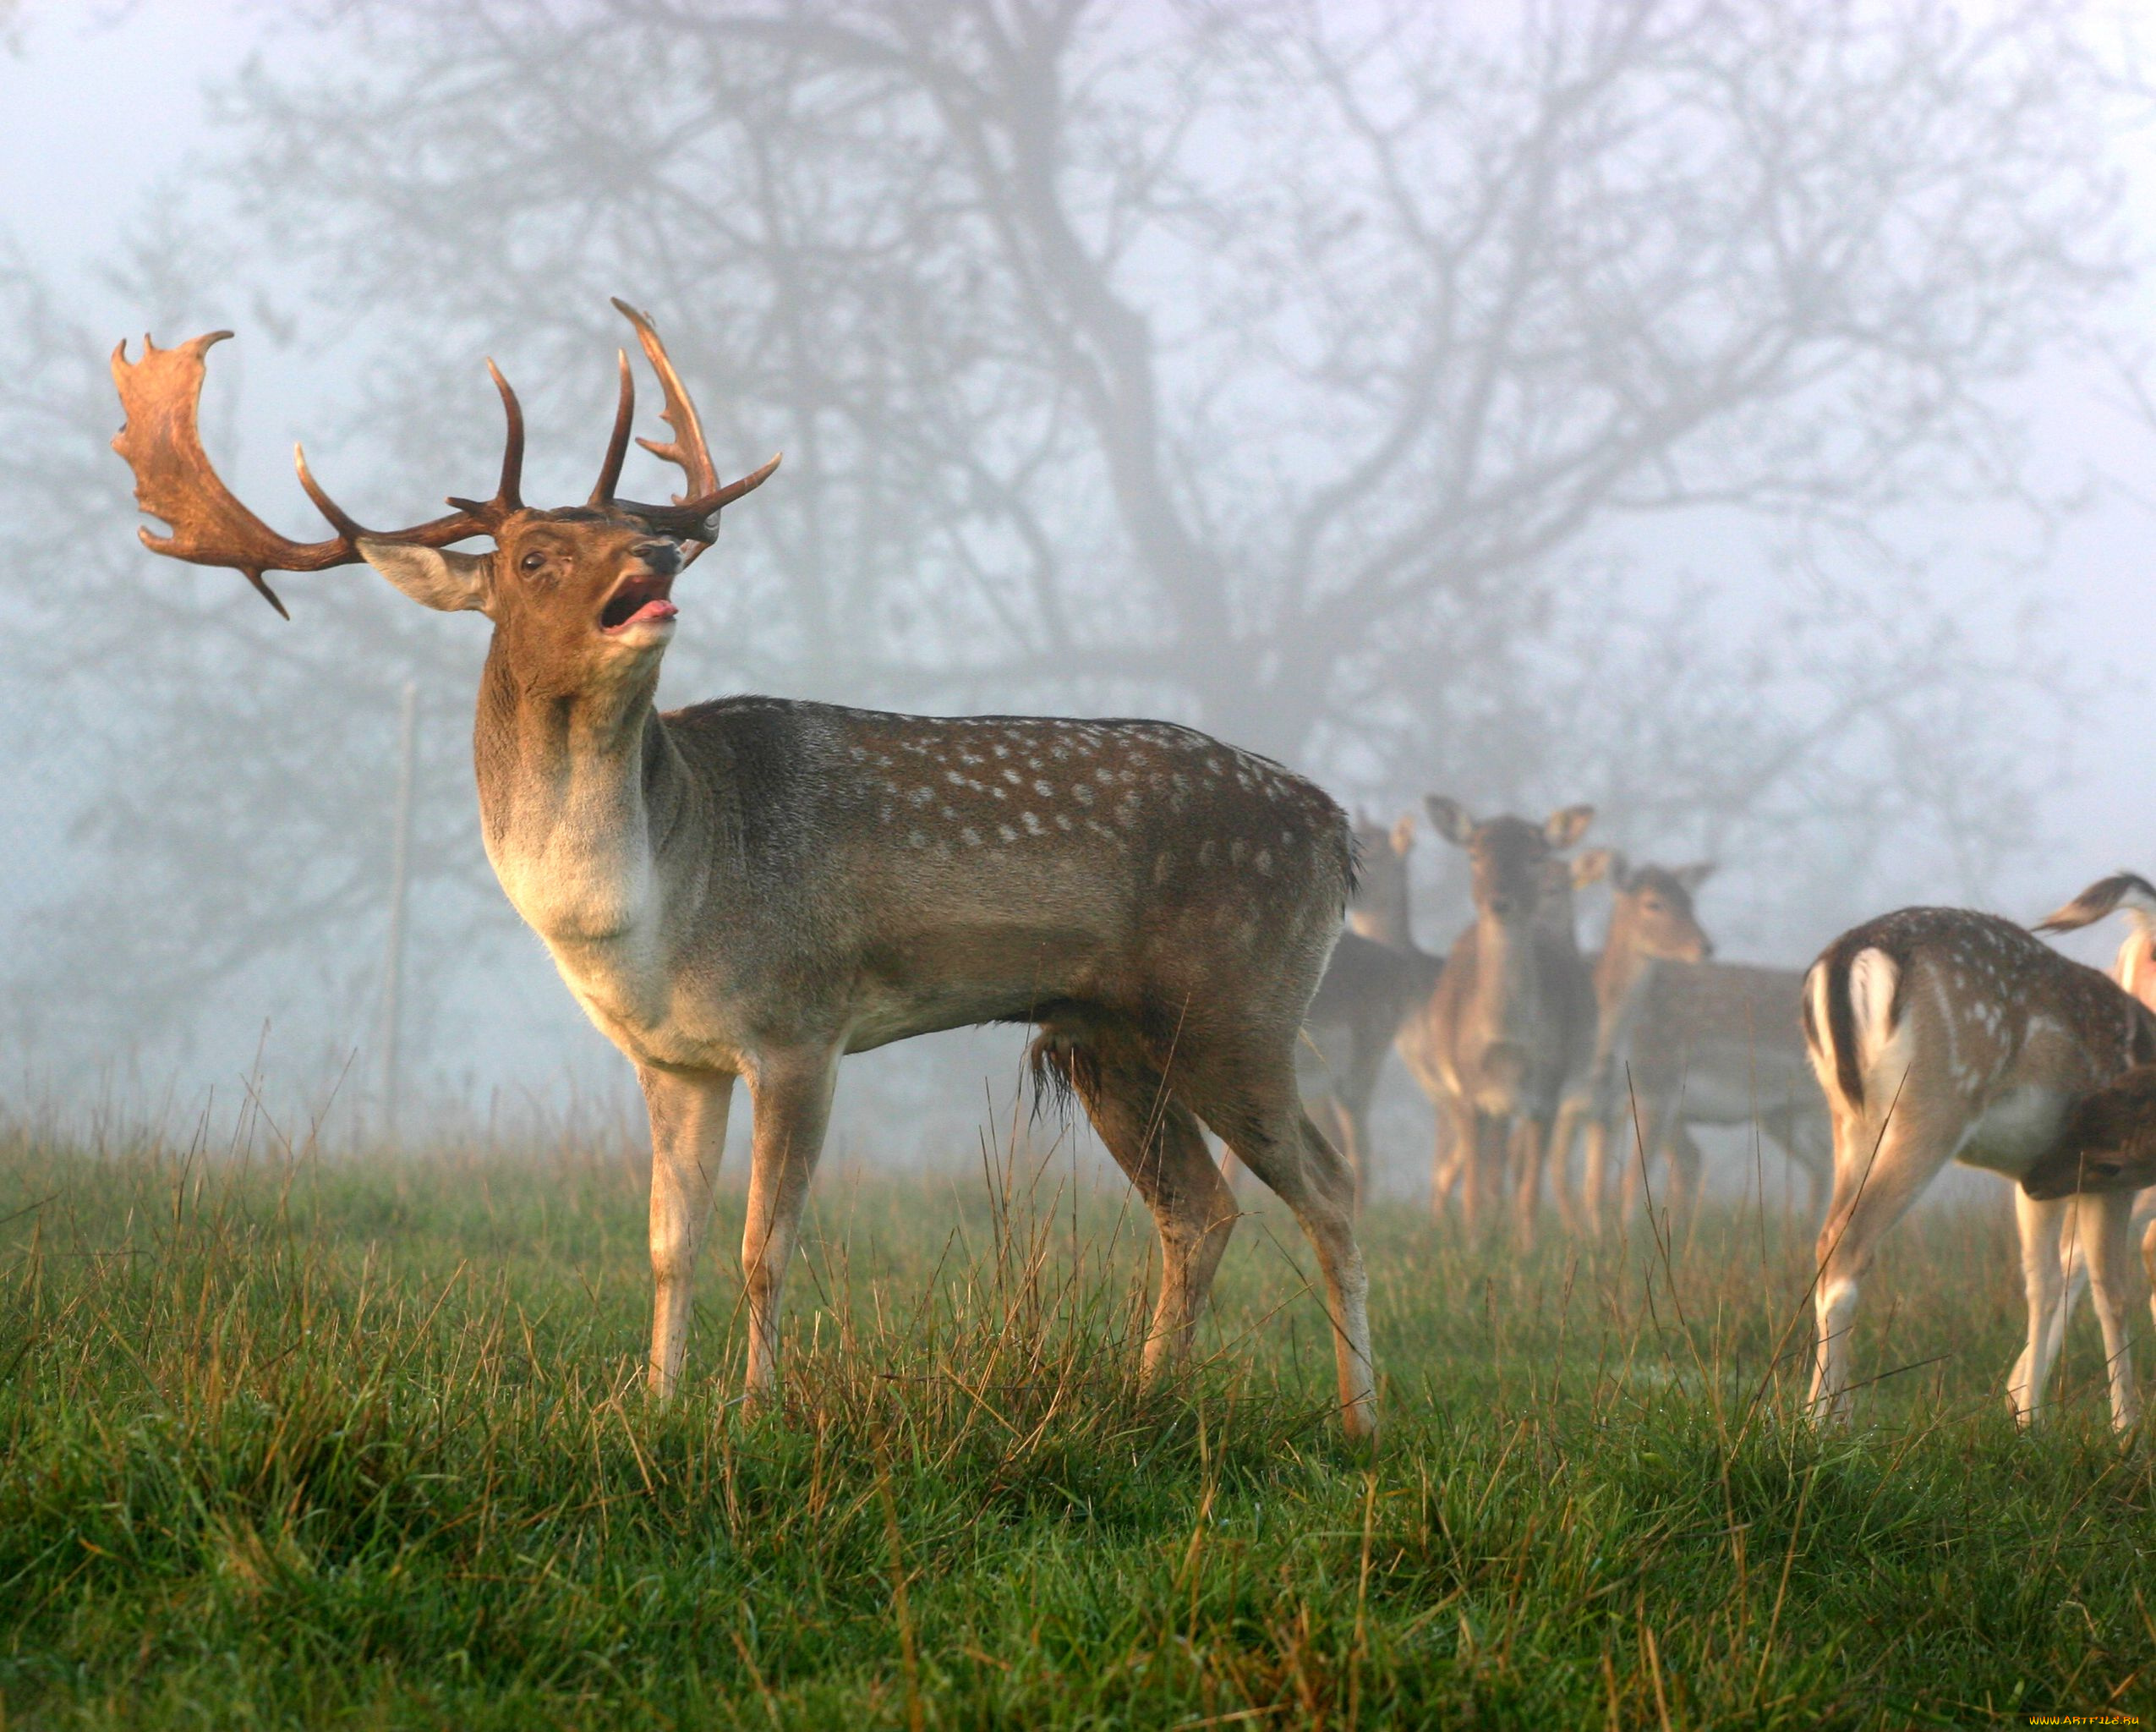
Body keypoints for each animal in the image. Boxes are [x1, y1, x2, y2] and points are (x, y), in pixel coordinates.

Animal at [109, 304, 1380, 1440]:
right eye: (532, 553)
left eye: (622, 527)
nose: (660, 548)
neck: (657, 911)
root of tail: (1338, 832)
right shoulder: (673, 1059)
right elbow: (668, 1246)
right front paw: (655, 1402)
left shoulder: (799, 1022)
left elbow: (764, 1248)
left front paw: (755, 1412)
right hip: (1104, 1036)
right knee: (1200, 1210)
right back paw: (1149, 1398)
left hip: (1238, 1003)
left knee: (1329, 1184)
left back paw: (1360, 1420)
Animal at [1397, 797, 1604, 1233]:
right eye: (1474, 854)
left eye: (1535, 855)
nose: (1500, 900)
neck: (1506, 1042)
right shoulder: (1468, 1092)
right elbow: (1472, 1192)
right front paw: (1473, 1244)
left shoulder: (1548, 1093)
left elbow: (1529, 1193)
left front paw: (1526, 1247)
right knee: (1481, 1173)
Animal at [1802, 902, 2156, 1432]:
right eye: (2111, 1160)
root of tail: (1847, 958)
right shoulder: (2107, 1176)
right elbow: (2111, 1293)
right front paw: (2126, 1431)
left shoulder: (2039, 1178)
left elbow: (2043, 1282)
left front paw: (2029, 1419)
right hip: (1935, 1105)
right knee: (1849, 1246)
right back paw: (1823, 1426)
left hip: (1850, 1120)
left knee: (1828, 1238)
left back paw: (1812, 1414)